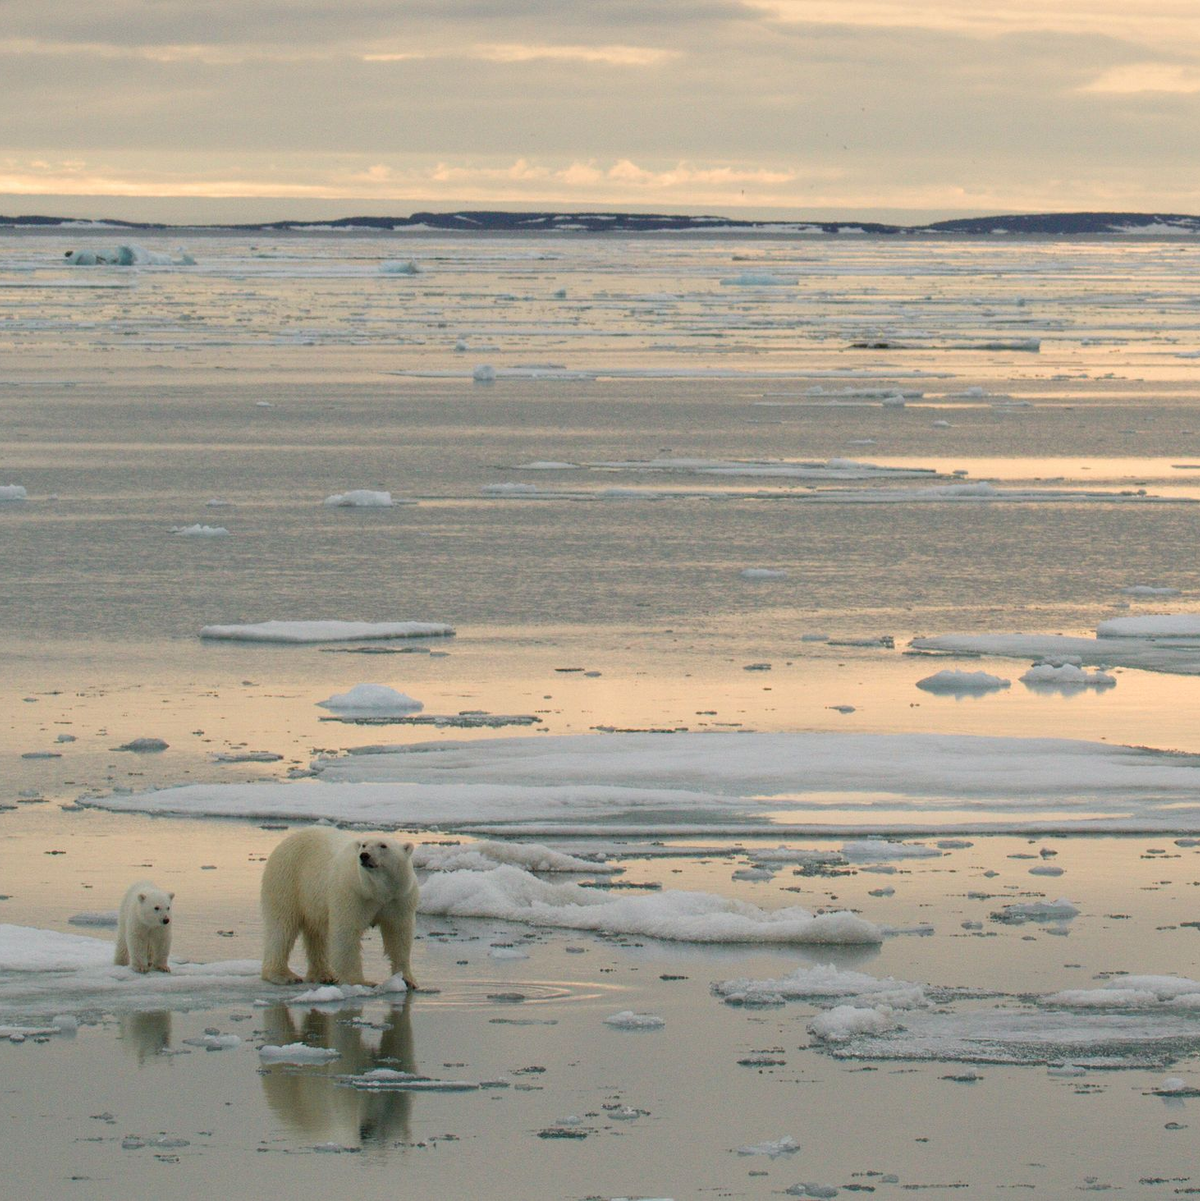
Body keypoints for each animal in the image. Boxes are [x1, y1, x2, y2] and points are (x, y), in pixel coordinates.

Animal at [260, 828, 419, 989]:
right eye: (364, 845)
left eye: (383, 845)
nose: (364, 855)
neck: (377, 891)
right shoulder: (352, 893)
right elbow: (346, 933)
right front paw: (360, 982)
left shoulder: (400, 897)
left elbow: (398, 935)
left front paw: (407, 980)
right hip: (287, 879)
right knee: (282, 927)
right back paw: (283, 975)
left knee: (315, 933)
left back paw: (324, 975)